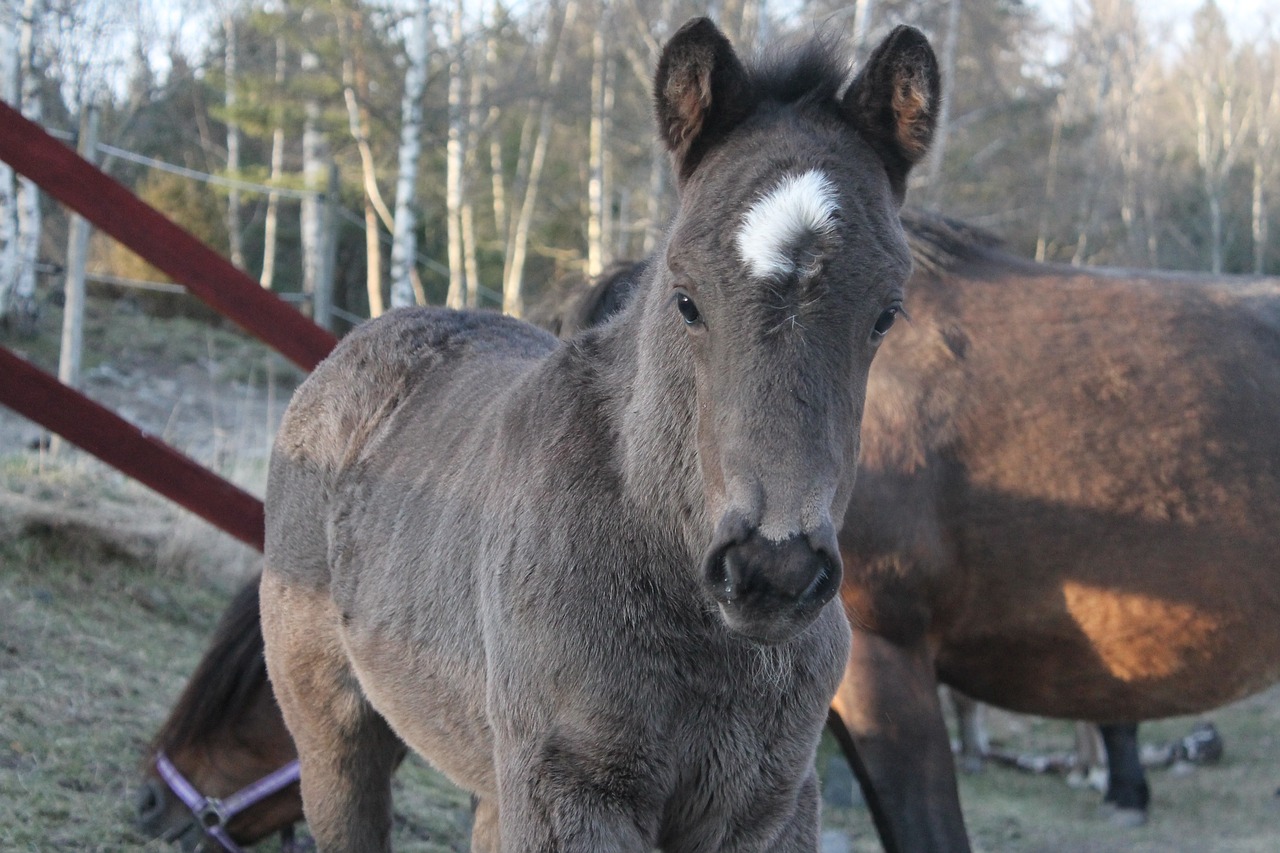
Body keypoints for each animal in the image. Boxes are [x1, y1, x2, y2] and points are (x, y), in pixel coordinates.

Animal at [259, 18, 942, 850]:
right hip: (334, 729)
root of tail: (359, 343)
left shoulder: (766, 802)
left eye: (886, 313)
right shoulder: (572, 790)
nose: (772, 569)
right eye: (685, 298)